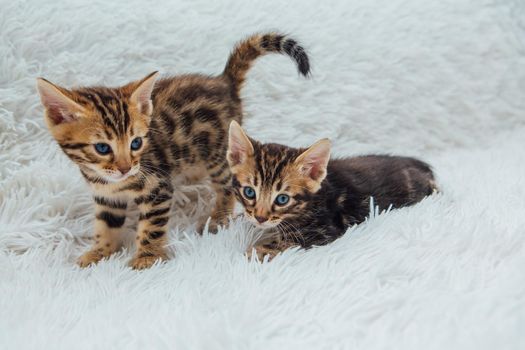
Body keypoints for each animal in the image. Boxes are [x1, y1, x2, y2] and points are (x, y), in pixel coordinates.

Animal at [36, 32, 310, 270]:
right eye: (102, 148)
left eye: (136, 143)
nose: (126, 168)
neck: (111, 181)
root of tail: (224, 82)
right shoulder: (107, 197)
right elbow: (106, 226)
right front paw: (99, 253)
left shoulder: (158, 188)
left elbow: (151, 228)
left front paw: (147, 258)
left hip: (217, 153)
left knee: (225, 186)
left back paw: (219, 218)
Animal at [227, 121, 436, 262]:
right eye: (250, 192)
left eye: (282, 199)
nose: (260, 218)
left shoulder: (323, 231)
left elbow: (285, 243)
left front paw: (253, 252)